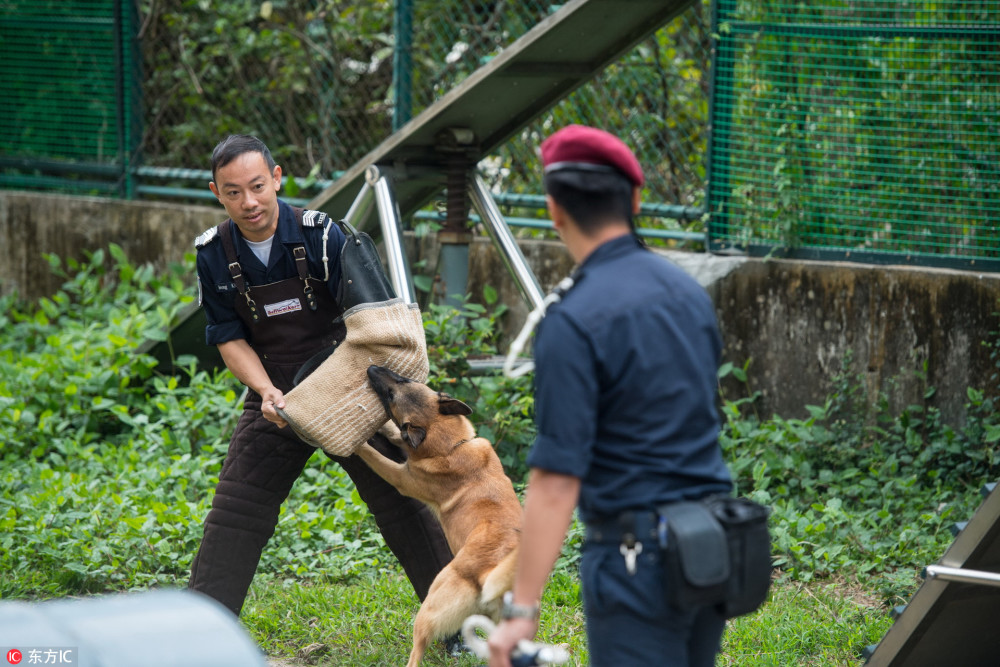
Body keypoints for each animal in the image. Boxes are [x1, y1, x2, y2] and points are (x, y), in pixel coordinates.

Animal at [356, 366, 524, 667]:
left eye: (391, 394)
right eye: (404, 379)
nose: (372, 368)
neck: (453, 446)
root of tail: (489, 574)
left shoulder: (401, 476)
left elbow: (373, 455)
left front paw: (357, 444)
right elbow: (394, 432)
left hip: (428, 611)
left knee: (416, 653)